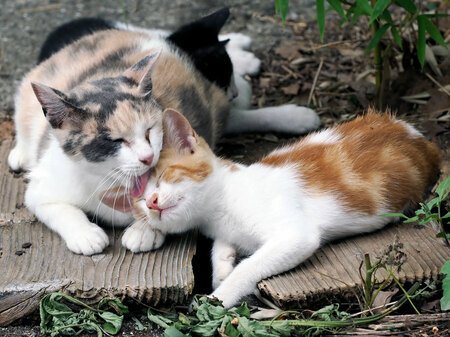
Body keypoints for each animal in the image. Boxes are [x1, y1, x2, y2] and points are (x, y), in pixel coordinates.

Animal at [6, 8, 316, 255]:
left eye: (149, 130)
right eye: (113, 141)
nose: (147, 157)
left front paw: (144, 230)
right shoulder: (42, 188)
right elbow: (58, 208)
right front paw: (86, 235)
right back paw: (20, 153)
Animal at [102, 108, 440, 308]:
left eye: (164, 177)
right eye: (140, 203)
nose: (152, 202)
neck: (220, 207)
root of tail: (419, 137)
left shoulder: (296, 235)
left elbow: (251, 265)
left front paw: (220, 295)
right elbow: (221, 248)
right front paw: (221, 268)